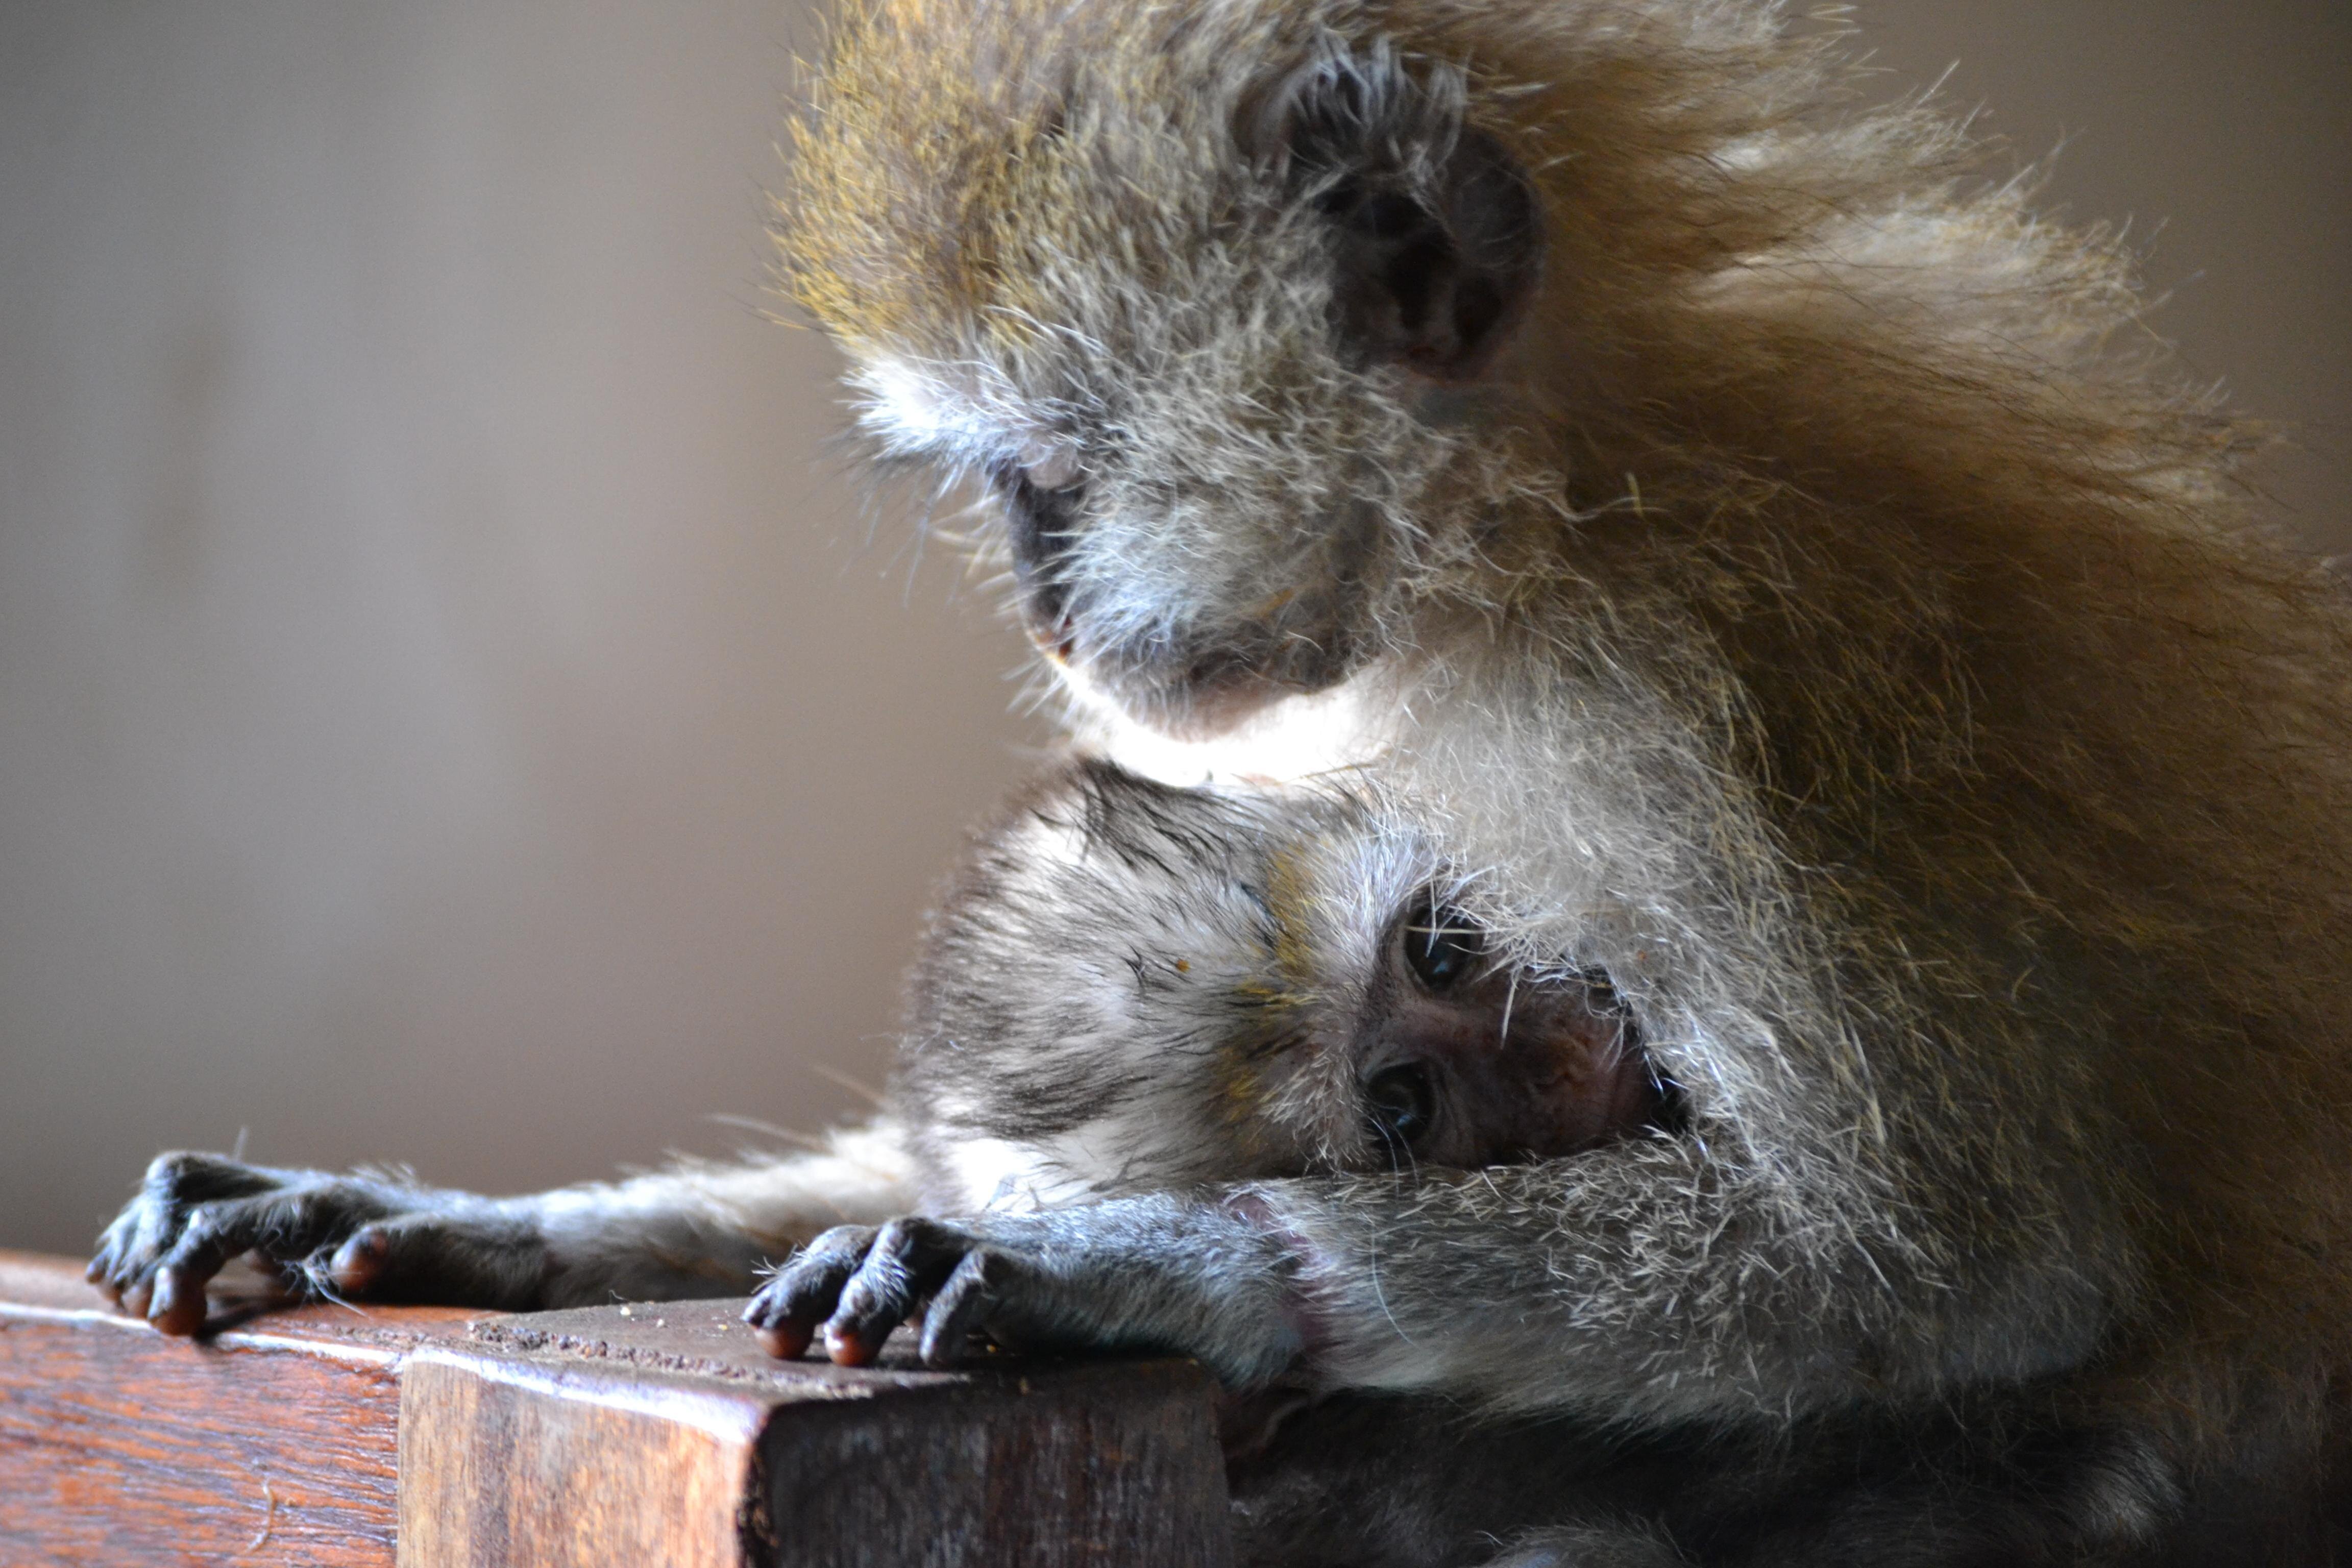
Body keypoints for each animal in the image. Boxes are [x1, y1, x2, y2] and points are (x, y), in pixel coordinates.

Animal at [742, 0, 2352, 1558]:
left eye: (1050, 476)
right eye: (1401, 1108)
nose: (1049, 612)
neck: (1535, 512)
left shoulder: (1679, 708)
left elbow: (1955, 1260)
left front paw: (1182, 1266)